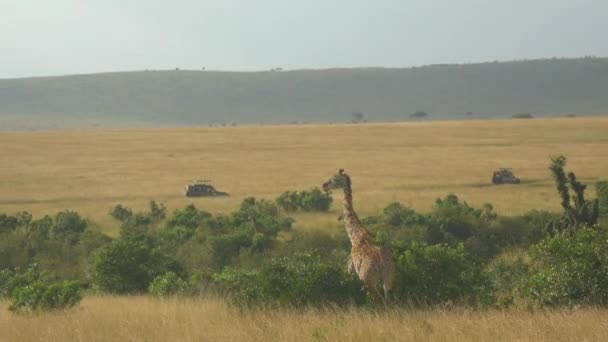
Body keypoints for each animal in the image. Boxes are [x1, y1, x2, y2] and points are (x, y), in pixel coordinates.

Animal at [320, 169, 396, 304]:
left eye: (334, 179)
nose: (324, 186)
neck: (355, 236)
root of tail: (383, 264)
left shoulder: (351, 268)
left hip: (368, 280)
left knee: (379, 299)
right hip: (388, 279)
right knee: (388, 300)